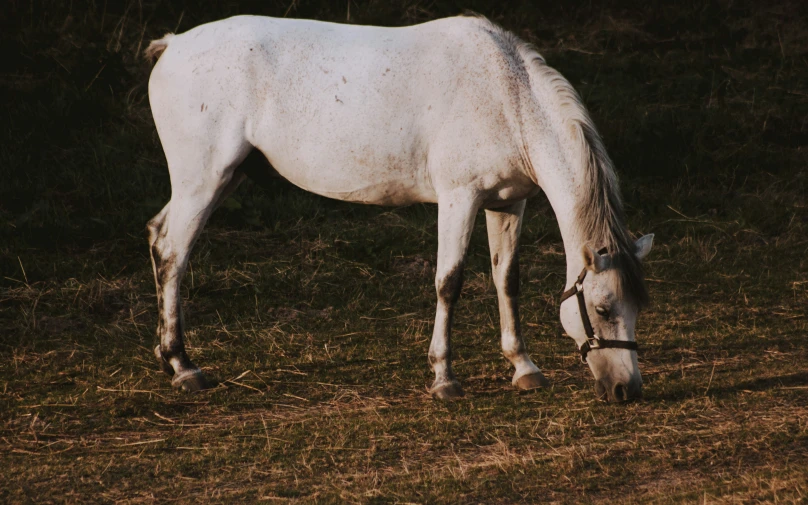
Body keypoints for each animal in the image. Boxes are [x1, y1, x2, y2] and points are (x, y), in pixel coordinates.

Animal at [145, 13, 652, 404]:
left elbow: (506, 279)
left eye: (638, 306)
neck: (507, 95)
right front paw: (444, 378)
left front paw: (523, 367)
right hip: (202, 180)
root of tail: (174, 44)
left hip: (222, 178)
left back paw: (167, 359)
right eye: (603, 308)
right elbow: (449, 283)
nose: (627, 390)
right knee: (172, 251)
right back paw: (183, 365)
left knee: (158, 236)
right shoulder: (459, 198)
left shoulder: (508, 203)